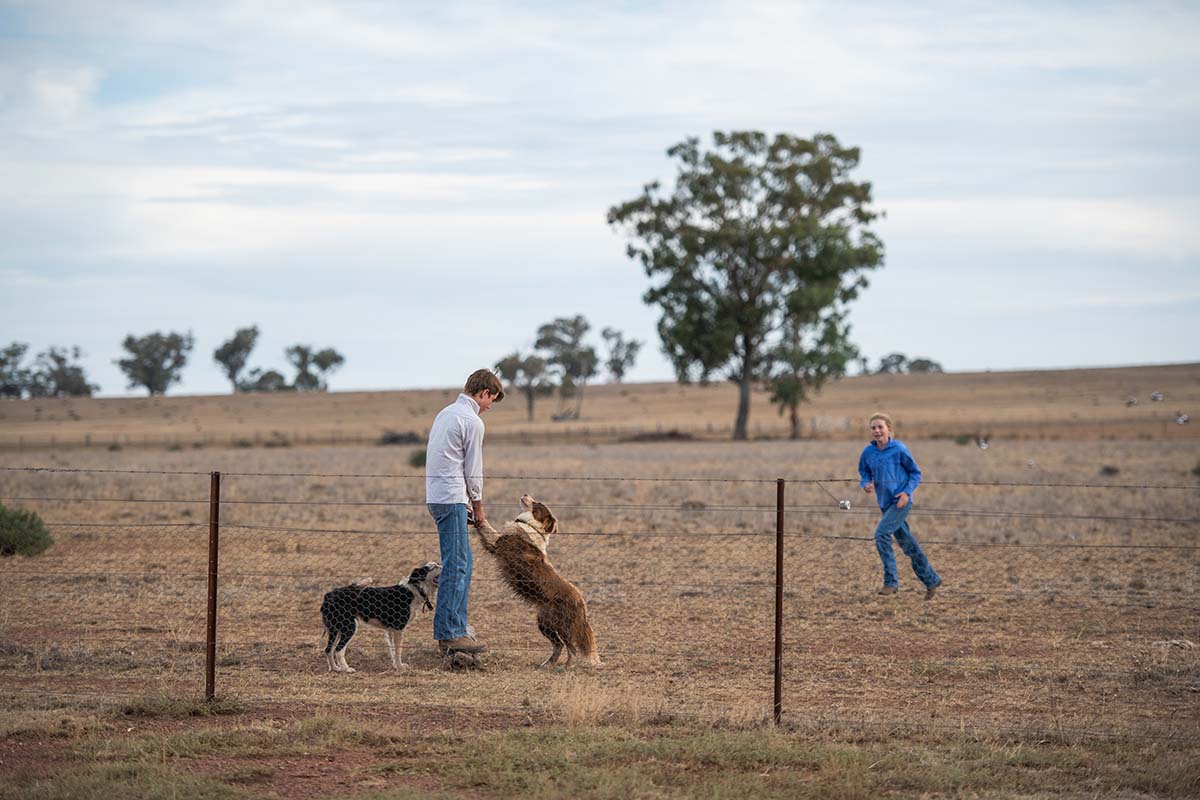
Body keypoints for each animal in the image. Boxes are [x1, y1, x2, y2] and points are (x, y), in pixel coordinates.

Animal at [470, 494, 597, 671]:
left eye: (537, 503)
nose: (525, 494)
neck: (531, 526)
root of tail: (581, 601)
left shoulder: (498, 543)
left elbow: (487, 527)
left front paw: (478, 517)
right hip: (545, 623)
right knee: (558, 645)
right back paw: (547, 664)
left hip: (562, 625)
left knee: (571, 647)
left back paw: (566, 666)